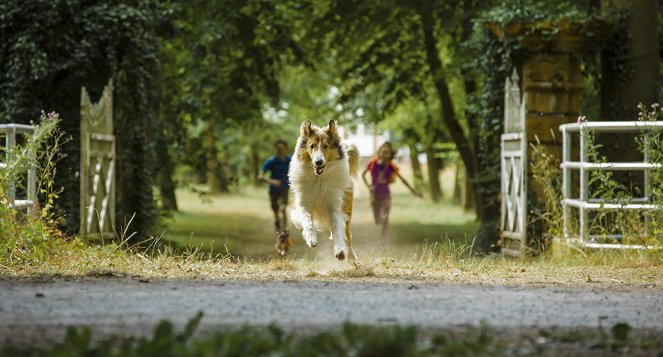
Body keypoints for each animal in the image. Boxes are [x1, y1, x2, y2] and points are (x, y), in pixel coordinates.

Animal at [290, 118, 360, 260]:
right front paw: (311, 239)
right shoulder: (304, 203)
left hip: (347, 212)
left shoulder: (334, 206)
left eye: (326, 146)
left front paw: (339, 250)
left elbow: (337, 226)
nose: (318, 162)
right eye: (312, 146)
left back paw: (351, 258)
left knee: (348, 237)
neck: (319, 178)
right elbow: (307, 220)